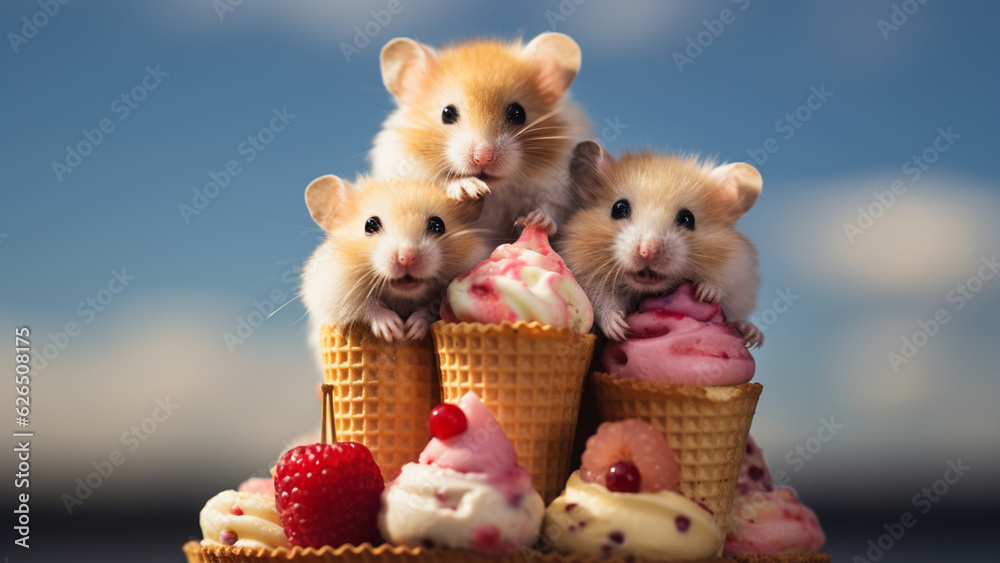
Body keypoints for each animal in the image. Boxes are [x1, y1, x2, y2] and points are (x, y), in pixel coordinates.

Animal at [301, 174, 486, 348]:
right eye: (370, 225)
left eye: (438, 224)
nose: (406, 258)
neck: (401, 296)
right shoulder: (331, 289)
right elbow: (365, 305)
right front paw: (393, 330)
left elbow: (430, 307)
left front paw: (411, 331)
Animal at [370, 32, 591, 243]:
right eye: (447, 113)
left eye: (518, 113)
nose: (483, 158)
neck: (496, 190)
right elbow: (439, 180)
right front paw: (470, 188)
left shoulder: (560, 186)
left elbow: (552, 208)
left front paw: (535, 220)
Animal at [558, 141, 764, 347]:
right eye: (618, 208)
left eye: (688, 219)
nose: (647, 252)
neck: (643, 290)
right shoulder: (587, 278)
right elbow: (603, 304)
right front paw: (620, 330)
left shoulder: (738, 275)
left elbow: (721, 285)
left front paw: (705, 293)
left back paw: (753, 335)